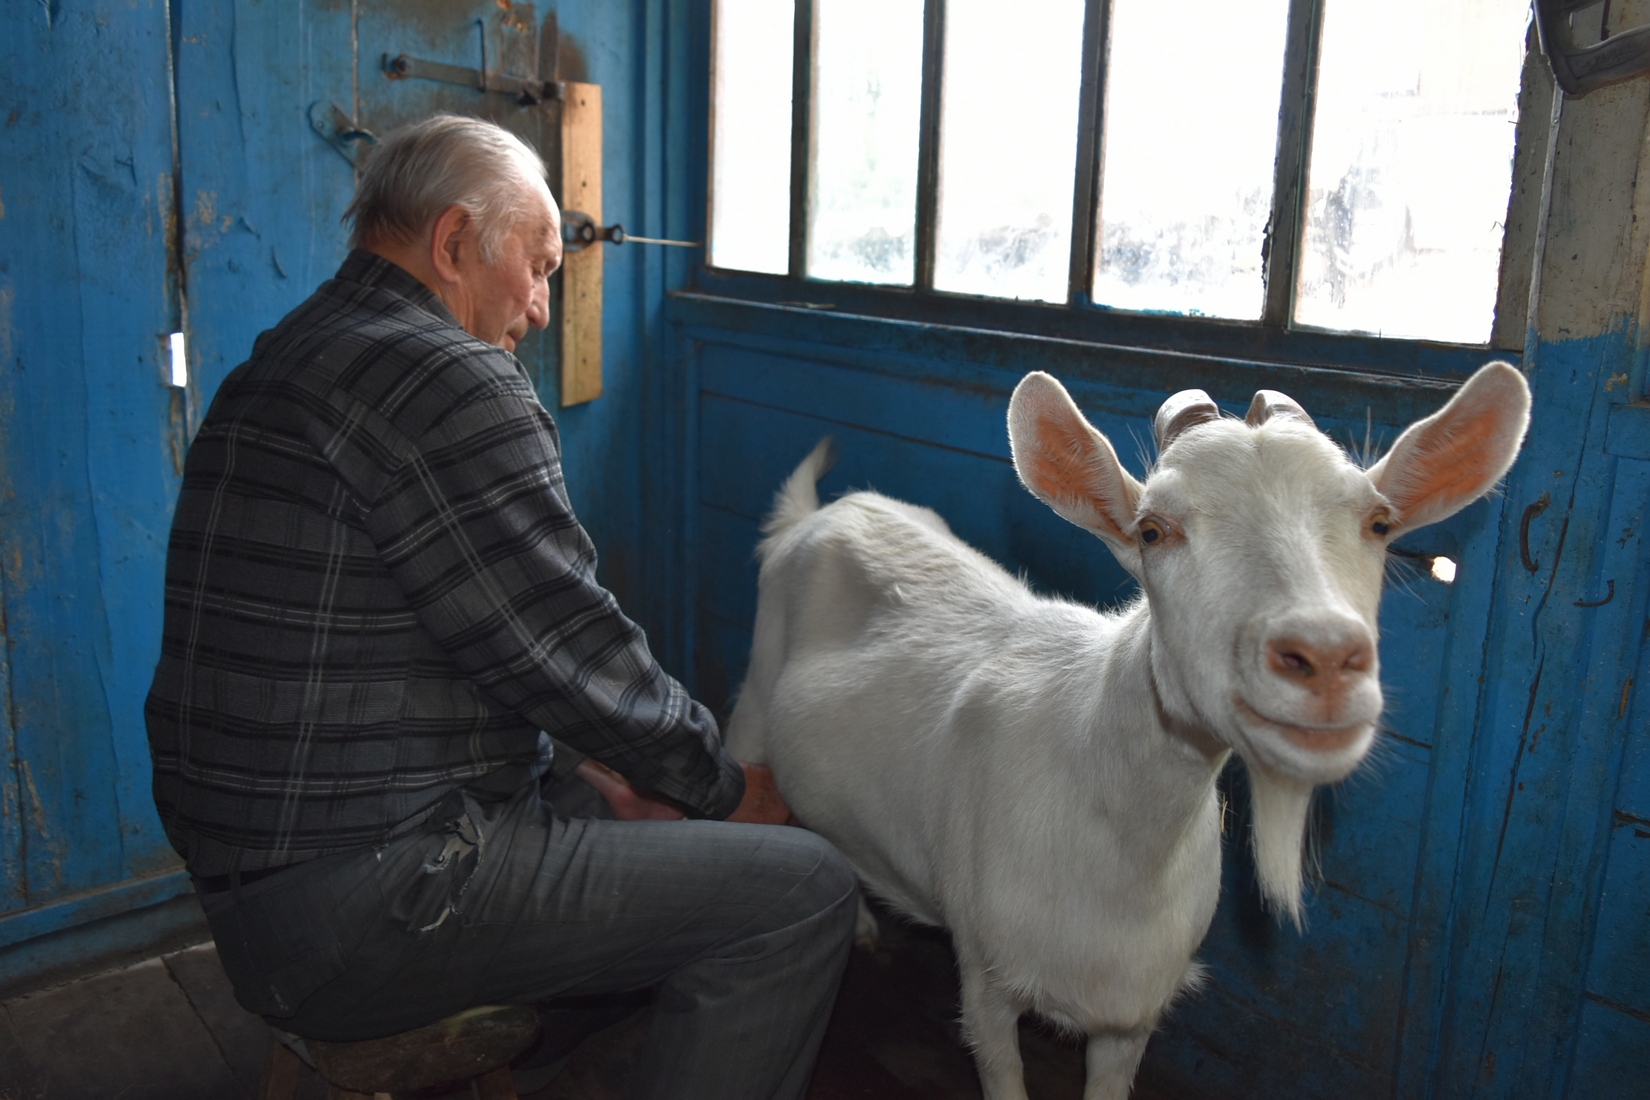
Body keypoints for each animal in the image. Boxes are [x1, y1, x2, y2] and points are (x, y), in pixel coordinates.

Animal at [729, 362, 1524, 1100]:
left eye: (1379, 523)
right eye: (1153, 531)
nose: (1325, 657)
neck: (1123, 840)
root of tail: (815, 516)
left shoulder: (1133, 1012)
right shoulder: (985, 980)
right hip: (751, 714)